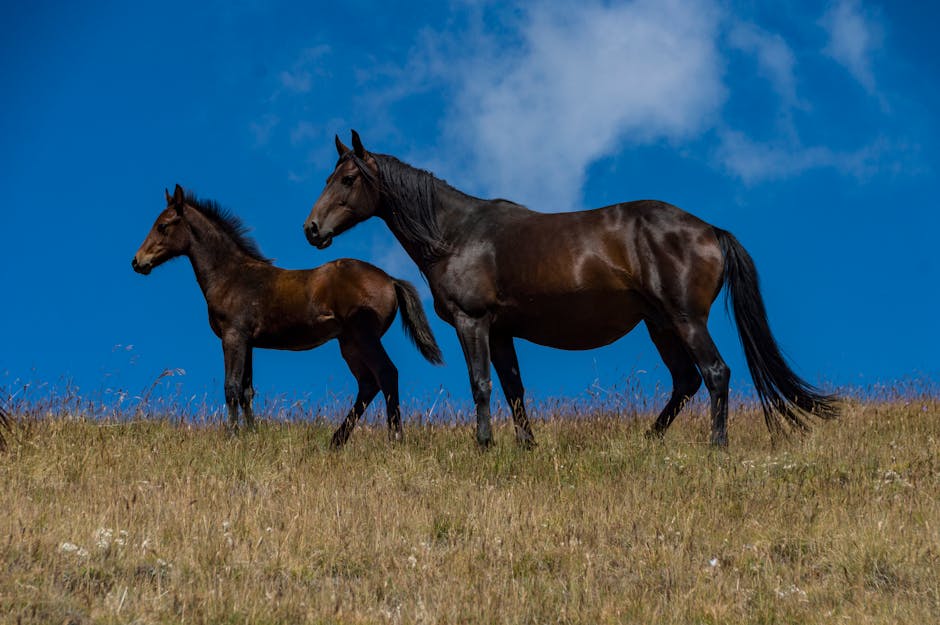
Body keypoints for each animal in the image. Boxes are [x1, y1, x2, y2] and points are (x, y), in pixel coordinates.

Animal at [130, 183, 442, 446]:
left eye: (162, 226)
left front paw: (231, 437)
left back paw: (394, 438)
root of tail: (390, 279)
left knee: (386, 373)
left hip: (364, 337)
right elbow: (247, 391)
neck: (230, 275)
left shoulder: (233, 336)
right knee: (367, 384)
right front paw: (252, 434)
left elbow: (231, 387)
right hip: (349, 343)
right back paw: (336, 441)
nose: (137, 261)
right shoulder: (249, 342)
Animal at [302, 132, 836, 446]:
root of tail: (710, 230)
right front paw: (525, 447)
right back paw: (648, 441)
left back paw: (716, 445)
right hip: (660, 325)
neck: (457, 233)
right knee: (685, 382)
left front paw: (484, 444)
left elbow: (480, 384)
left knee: (715, 374)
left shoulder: (473, 323)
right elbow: (513, 388)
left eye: (347, 178)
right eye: (329, 175)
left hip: (685, 321)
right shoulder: (501, 331)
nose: (311, 229)